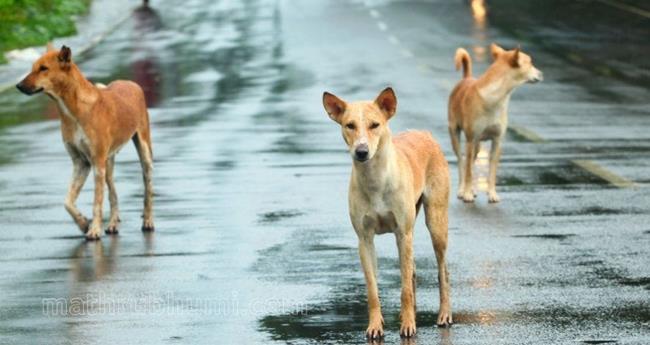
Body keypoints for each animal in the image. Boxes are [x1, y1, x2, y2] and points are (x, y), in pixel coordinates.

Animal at [16, 44, 154, 239]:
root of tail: (131, 83)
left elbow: (97, 202)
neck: (72, 110)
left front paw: (94, 230)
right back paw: (112, 224)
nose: (18, 86)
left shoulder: (95, 163)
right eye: (33, 67)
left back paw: (148, 221)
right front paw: (83, 223)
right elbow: (67, 201)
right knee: (113, 194)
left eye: (43, 68)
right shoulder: (81, 163)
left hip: (143, 153)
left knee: (147, 190)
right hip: (108, 166)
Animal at [320, 87, 450, 338]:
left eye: (375, 125)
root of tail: (425, 133)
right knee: (412, 271)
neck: (375, 180)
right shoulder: (364, 239)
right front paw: (375, 326)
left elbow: (404, 289)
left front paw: (408, 325)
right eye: (349, 125)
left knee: (442, 270)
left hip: (436, 222)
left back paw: (444, 314)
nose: (361, 151)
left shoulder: (402, 233)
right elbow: (372, 289)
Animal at [446, 44, 540, 203]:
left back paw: (472, 189)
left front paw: (491, 193)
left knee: (471, 163)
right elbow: (468, 171)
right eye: (530, 63)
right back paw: (462, 189)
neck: (495, 97)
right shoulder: (470, 139)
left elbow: (492, 172)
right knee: (461, 162)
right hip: (456, 135)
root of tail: (466, 78)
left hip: (477, 146)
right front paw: (467, 194)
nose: (540, 73)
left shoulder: (497, 141)